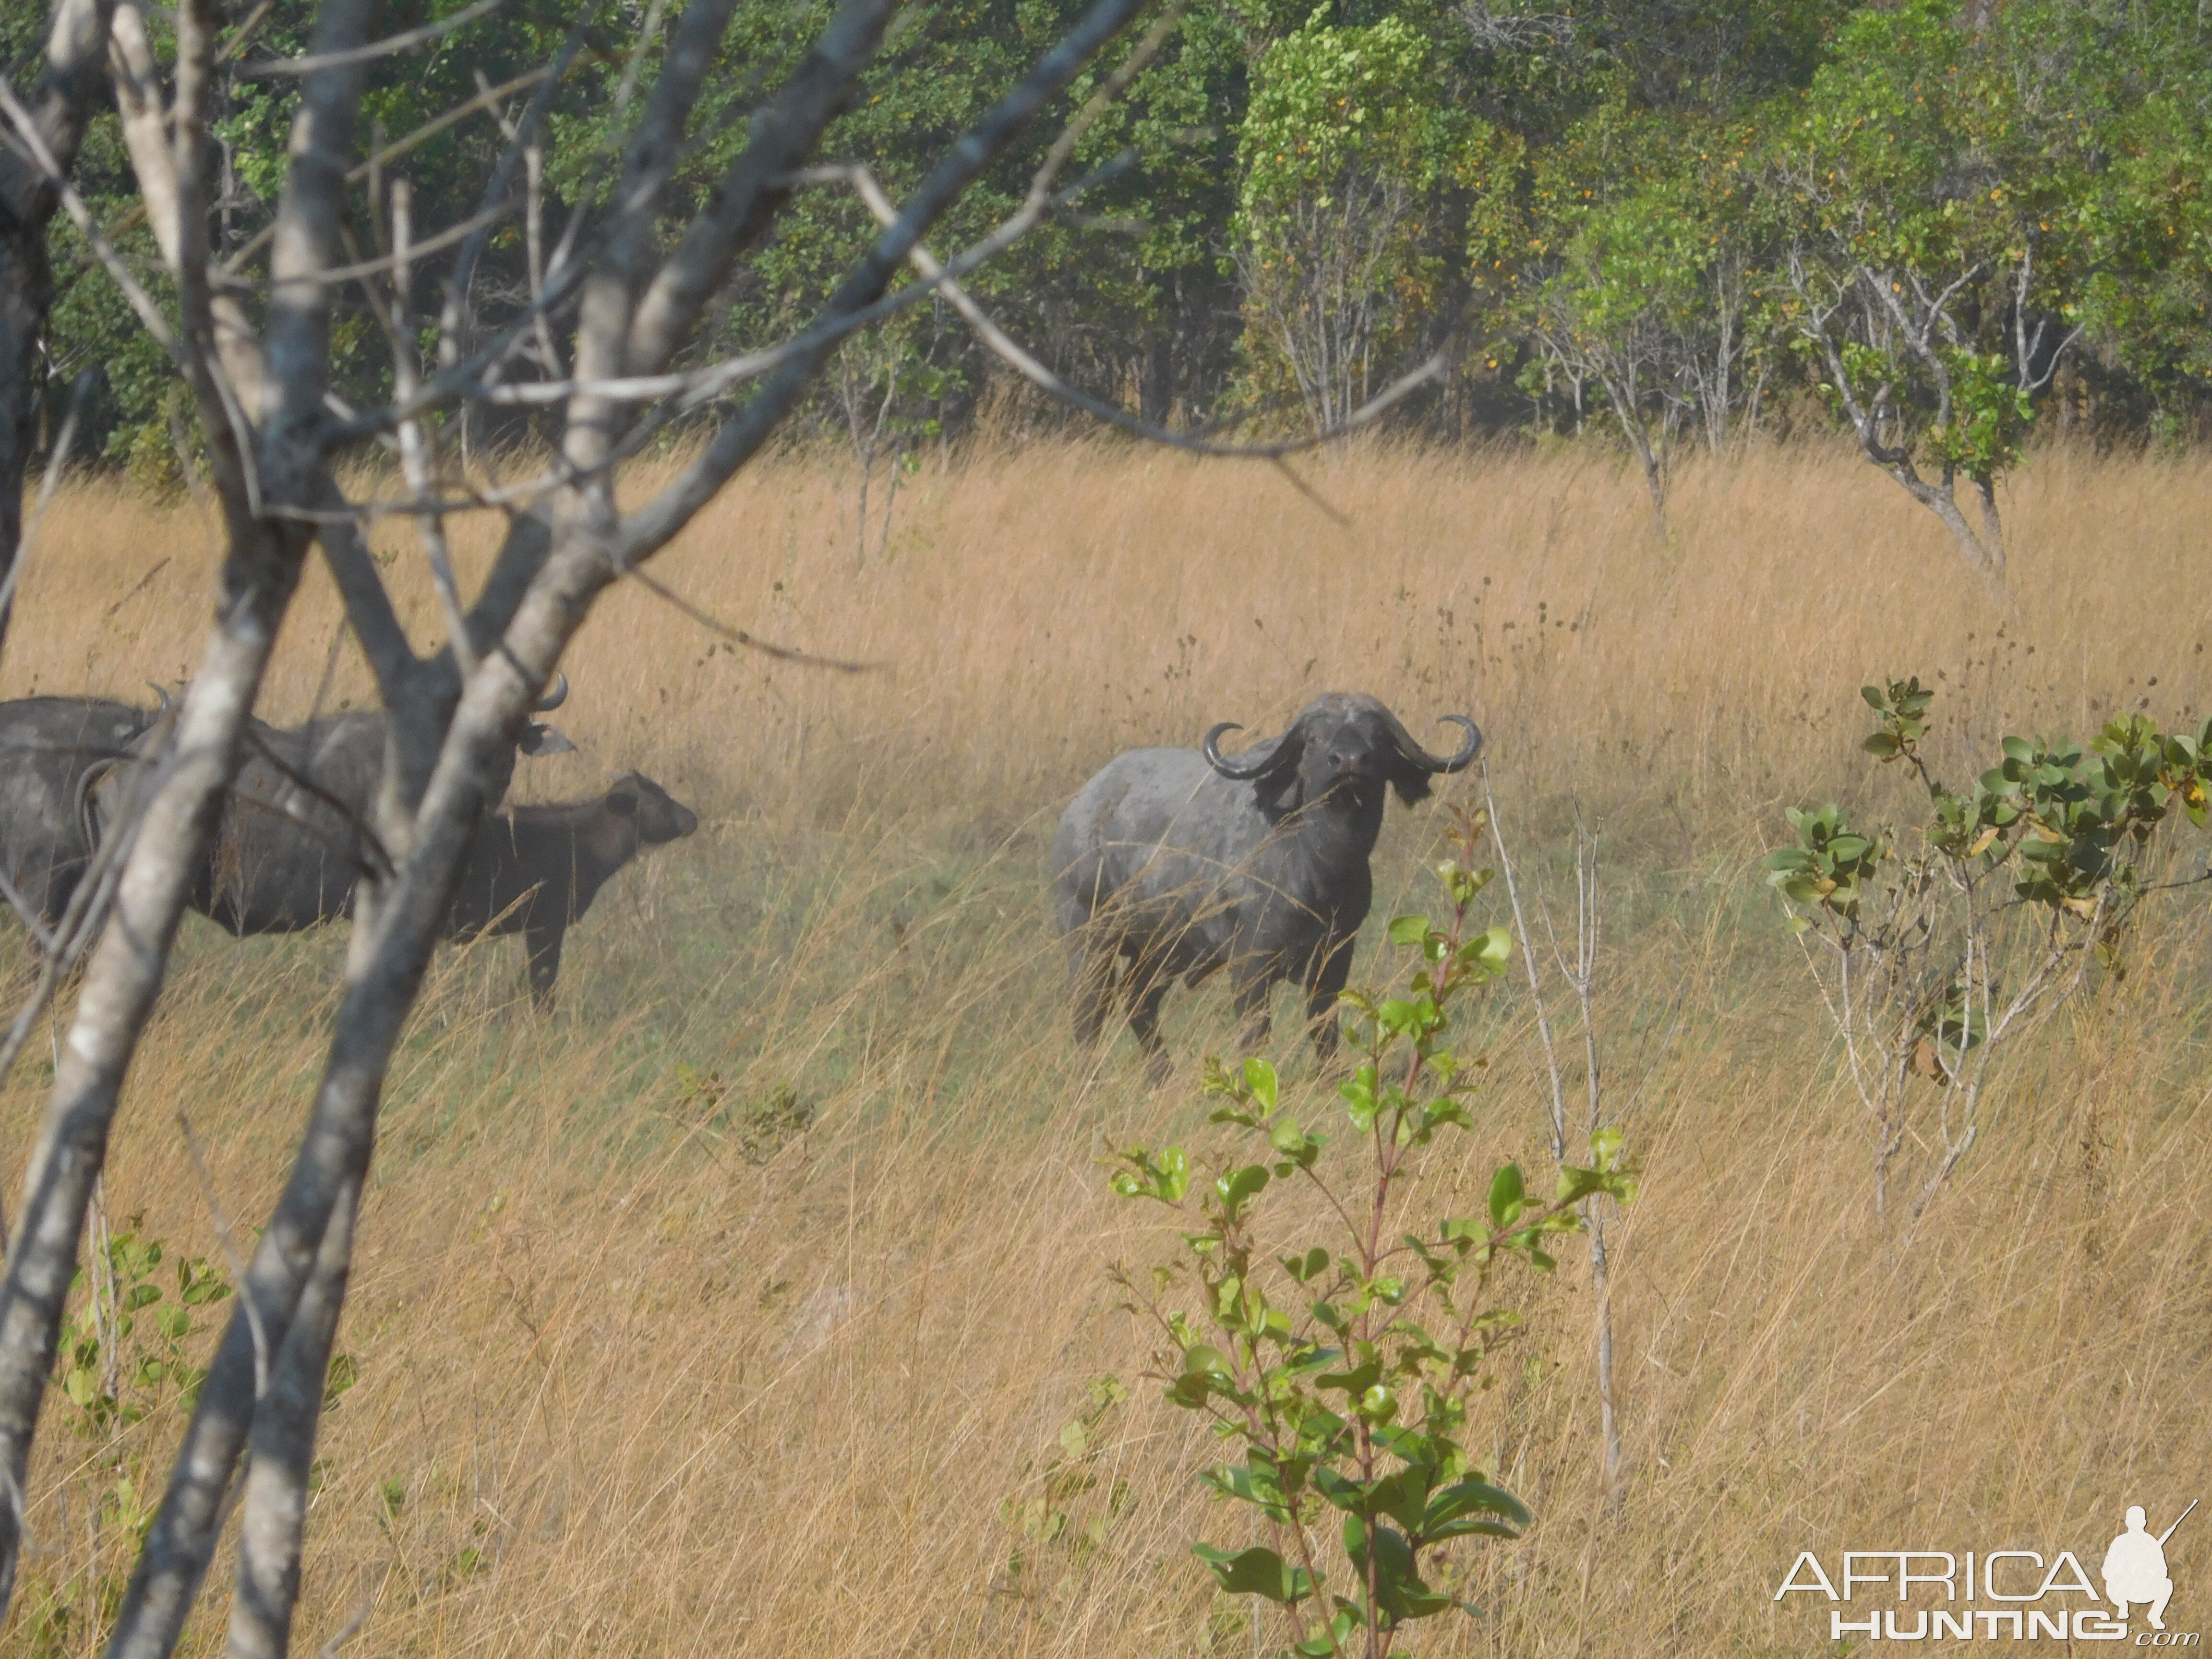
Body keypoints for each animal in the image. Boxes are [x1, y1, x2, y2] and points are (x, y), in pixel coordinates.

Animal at [1044, 690, 1478, 1070]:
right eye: (1315, 738)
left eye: (1379, 738)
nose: (1350, 761)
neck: (1320, 869)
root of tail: (1083, 808)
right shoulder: (1250, 961)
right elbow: (1256, 1030)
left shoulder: (1337, 955)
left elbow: (1323, 1024)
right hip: (1089, 933)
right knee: (1089, 1008)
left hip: (1161, 950)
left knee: (1138, 1001)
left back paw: (1161, 1077)